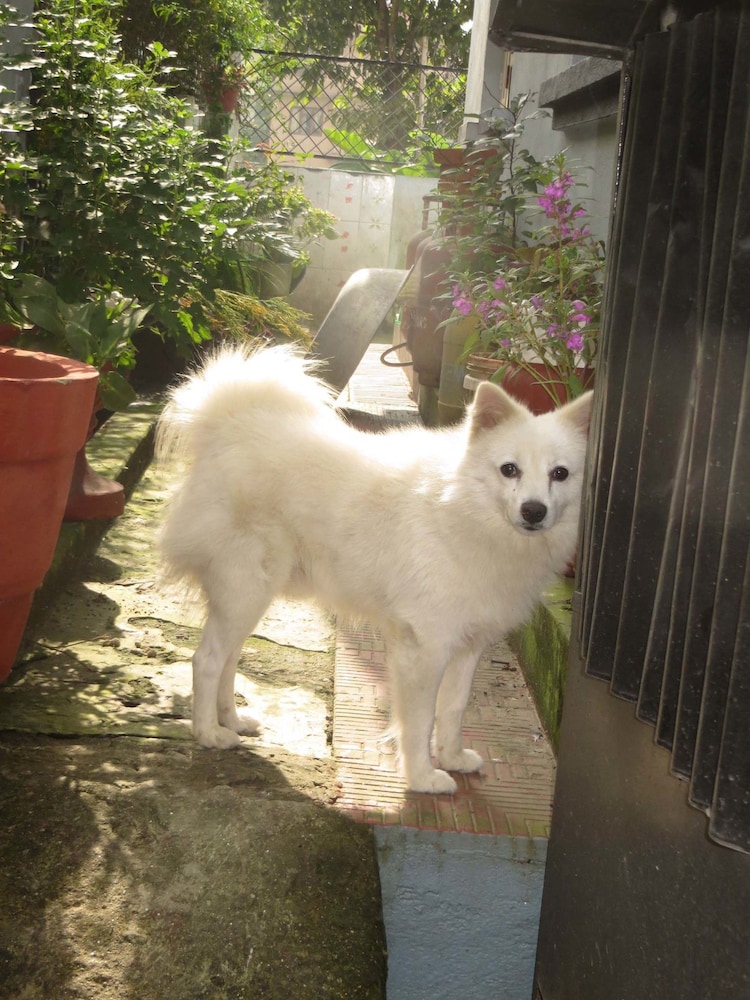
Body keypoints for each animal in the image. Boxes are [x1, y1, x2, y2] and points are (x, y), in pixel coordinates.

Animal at [156, 345, 592, 794]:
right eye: (509, 469)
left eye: (560, 474)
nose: (534, 511)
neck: (464, 508)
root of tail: (226, 425)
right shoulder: (425, 647)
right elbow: (420, 721)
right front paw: (422, 778)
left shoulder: (468, 645)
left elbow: (453, 709)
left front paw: (452, 758)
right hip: (245, 589)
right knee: (207, 660)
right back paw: (209, 733)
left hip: (250, 596)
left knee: (229, 658)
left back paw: (233, 720)